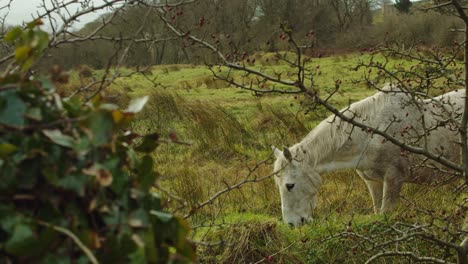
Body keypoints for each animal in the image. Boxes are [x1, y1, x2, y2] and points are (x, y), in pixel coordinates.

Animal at [272, 85, 462, 227]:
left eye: (290, 185)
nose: (292, 224)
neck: (372, 135)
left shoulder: (394, 178)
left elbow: (386, 213)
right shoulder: (372, 181)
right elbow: (378, 212)